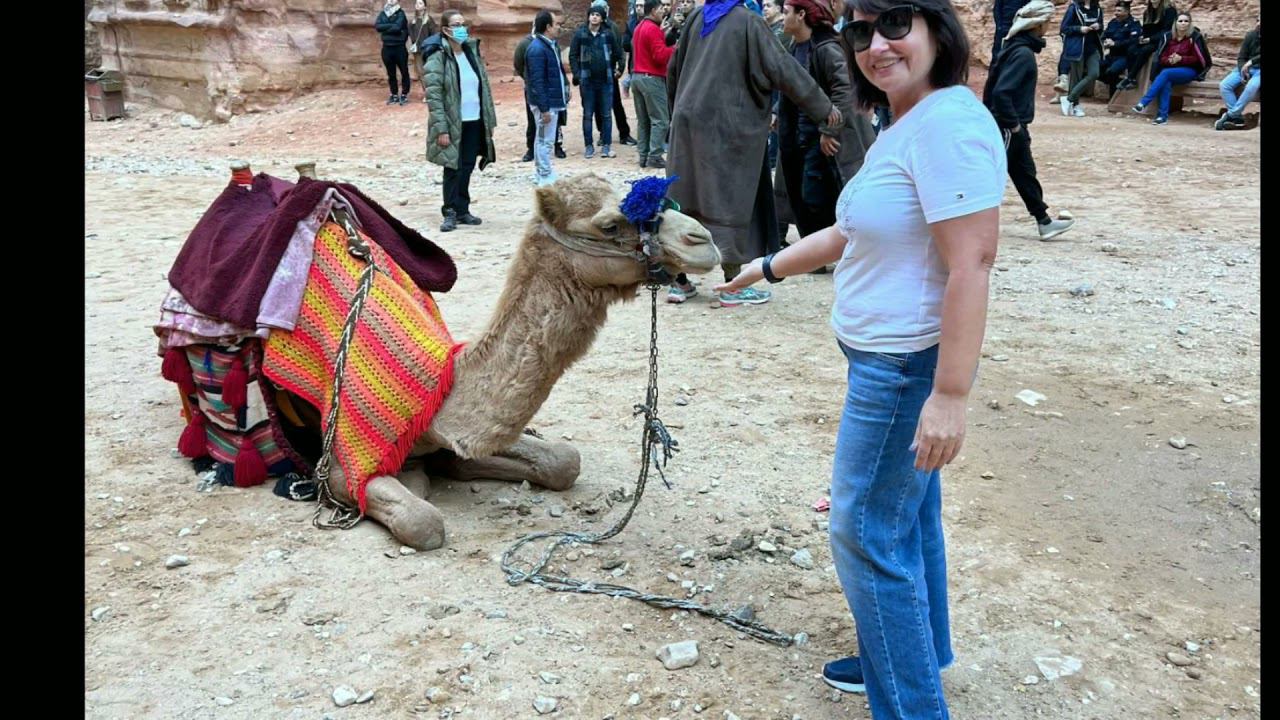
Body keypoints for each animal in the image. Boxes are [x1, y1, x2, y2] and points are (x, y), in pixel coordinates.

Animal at [307, 174, 721, 548]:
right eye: (609, 224)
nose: (702, 239)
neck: (440, 386)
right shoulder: (340, 466)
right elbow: (424, 523)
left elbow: (564, 461)